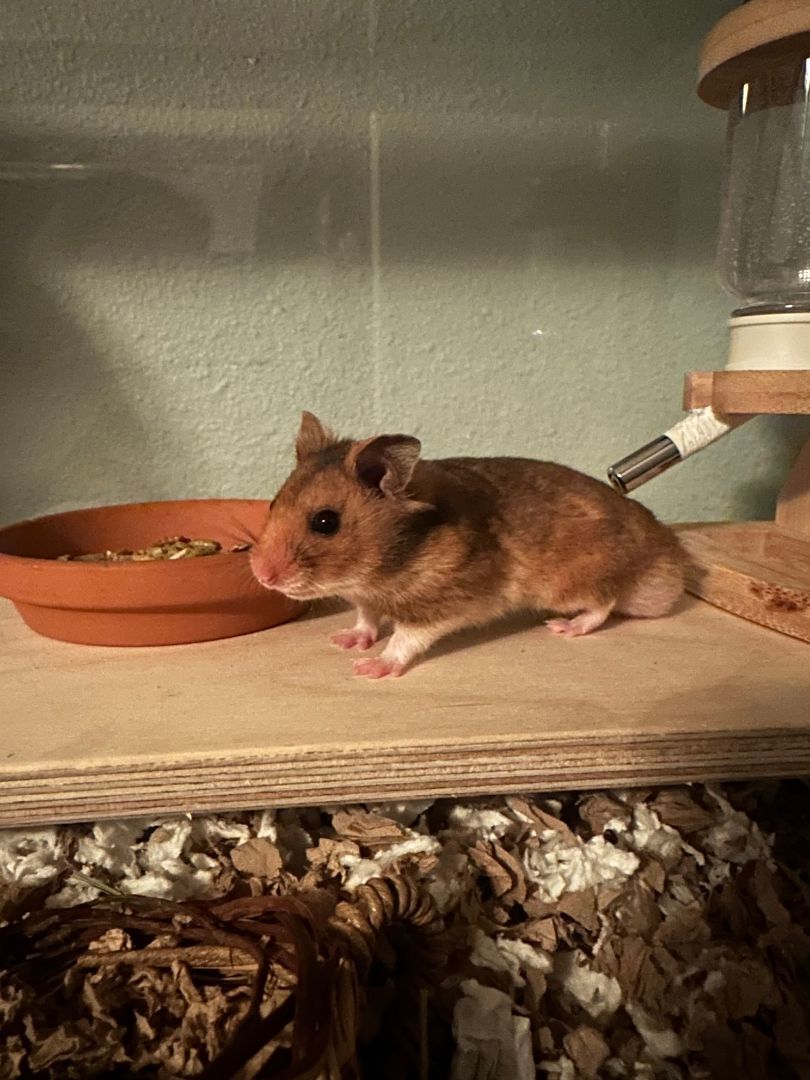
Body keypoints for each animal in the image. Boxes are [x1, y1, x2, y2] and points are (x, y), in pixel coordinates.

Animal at [250, 412, 687, 679]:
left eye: (325, 522)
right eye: (273, 504)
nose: (261, 575)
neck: (380, 568)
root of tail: (666, 549)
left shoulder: (441, 604)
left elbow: (404, 638)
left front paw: (369, 668)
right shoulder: (367, 599)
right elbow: (366, 620)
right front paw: (343, 641)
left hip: (571, 583)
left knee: (604, 603)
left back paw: (564, 628)